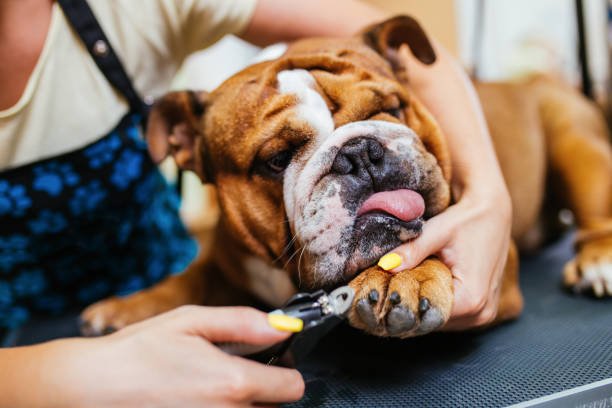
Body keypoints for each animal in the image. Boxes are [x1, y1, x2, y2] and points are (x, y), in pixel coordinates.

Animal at [81, 15, 612, 340]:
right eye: (276, 159)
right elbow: (187, 279)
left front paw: (407, 275)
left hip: (573, 139)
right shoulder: (223, 264)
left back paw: (596, 260)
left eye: (392, 108)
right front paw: (129, 307)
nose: (359, 152)